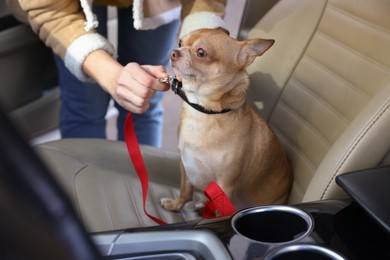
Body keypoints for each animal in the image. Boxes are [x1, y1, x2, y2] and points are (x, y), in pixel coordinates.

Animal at [160, 27, 290, 212]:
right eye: (180, 42)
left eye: (201, 53)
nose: (174, 52)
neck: (205, 114)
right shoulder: (185, 164)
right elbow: (185, 189)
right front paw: (176, 205)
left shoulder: (226, 185)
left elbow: (218, 210)